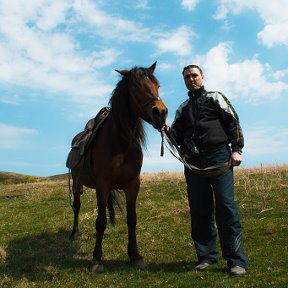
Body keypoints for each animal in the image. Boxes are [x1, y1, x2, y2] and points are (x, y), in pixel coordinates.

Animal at [69, 60, 168, 272]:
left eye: (157, 85)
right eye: (136, 86)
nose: (161, 113)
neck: (120, 143)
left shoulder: (133, 185)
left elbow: (132, 219)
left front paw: (135, 255)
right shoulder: (103, 184)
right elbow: (100, 221)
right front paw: (96, 259)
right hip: (77, 183)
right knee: (77, 206)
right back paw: (74, 234)